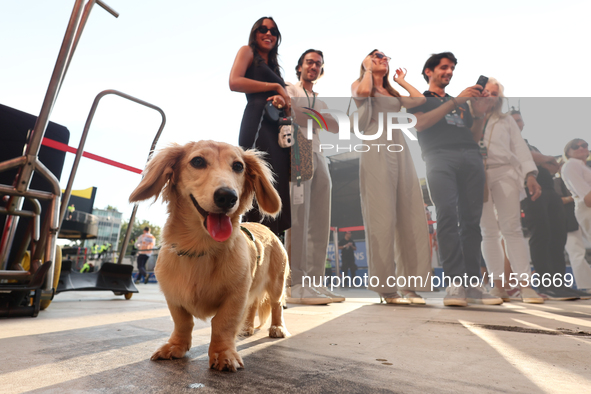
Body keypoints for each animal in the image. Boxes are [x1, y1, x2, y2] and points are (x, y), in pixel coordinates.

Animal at [129, 140, 290, 370]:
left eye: (238, 166)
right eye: (197, 161)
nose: (227, 197)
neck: (201, 248)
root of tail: (267, 229)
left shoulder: (236, 295)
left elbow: (223, 324)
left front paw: (223, 354)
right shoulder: (173, 295)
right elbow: (183, 322)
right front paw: (175, 346)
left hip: (276, 283)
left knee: (276, 305)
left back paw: (277, 328)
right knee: (252, 307)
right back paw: (247, 327)